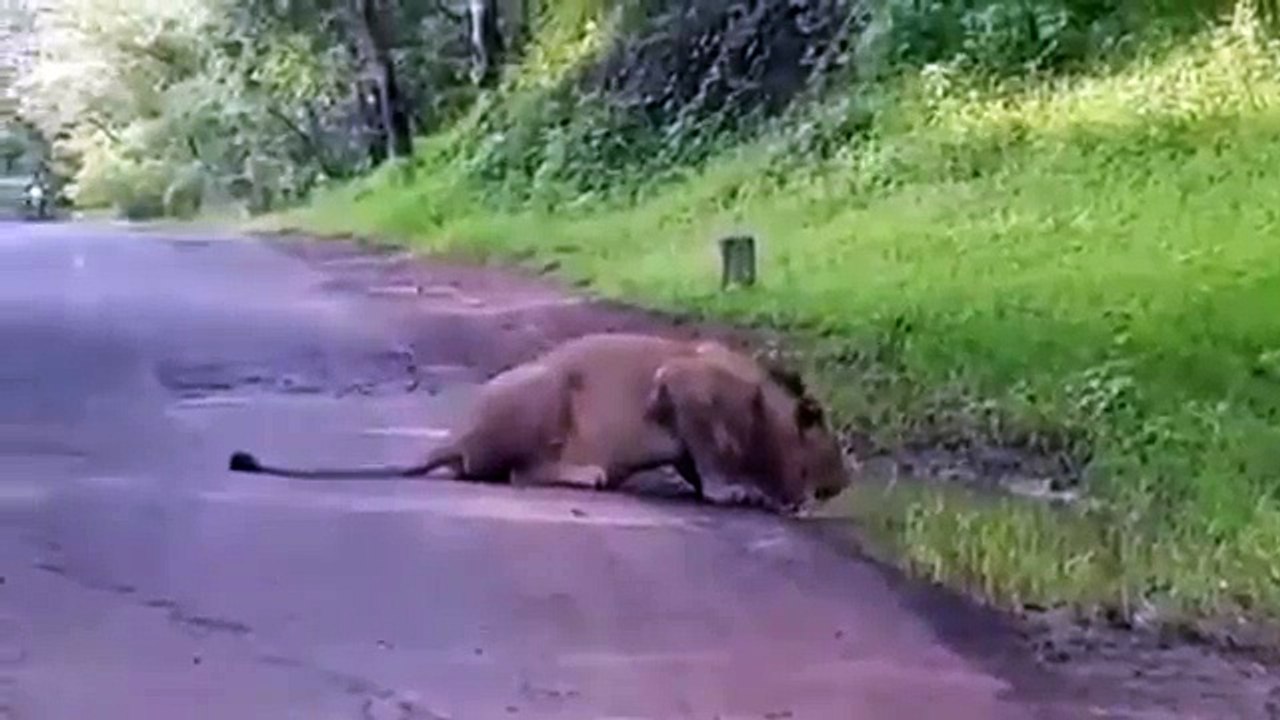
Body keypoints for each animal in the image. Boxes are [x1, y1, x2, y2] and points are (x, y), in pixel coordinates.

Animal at [228, 332, 852, 515]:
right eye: (826, 437)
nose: (846, 479)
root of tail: (457, 437)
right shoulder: (682, 385)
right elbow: (712, 461)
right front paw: (742, 493)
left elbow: (697, 464)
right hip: (545, 390)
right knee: (519, 474)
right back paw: (587, 475)